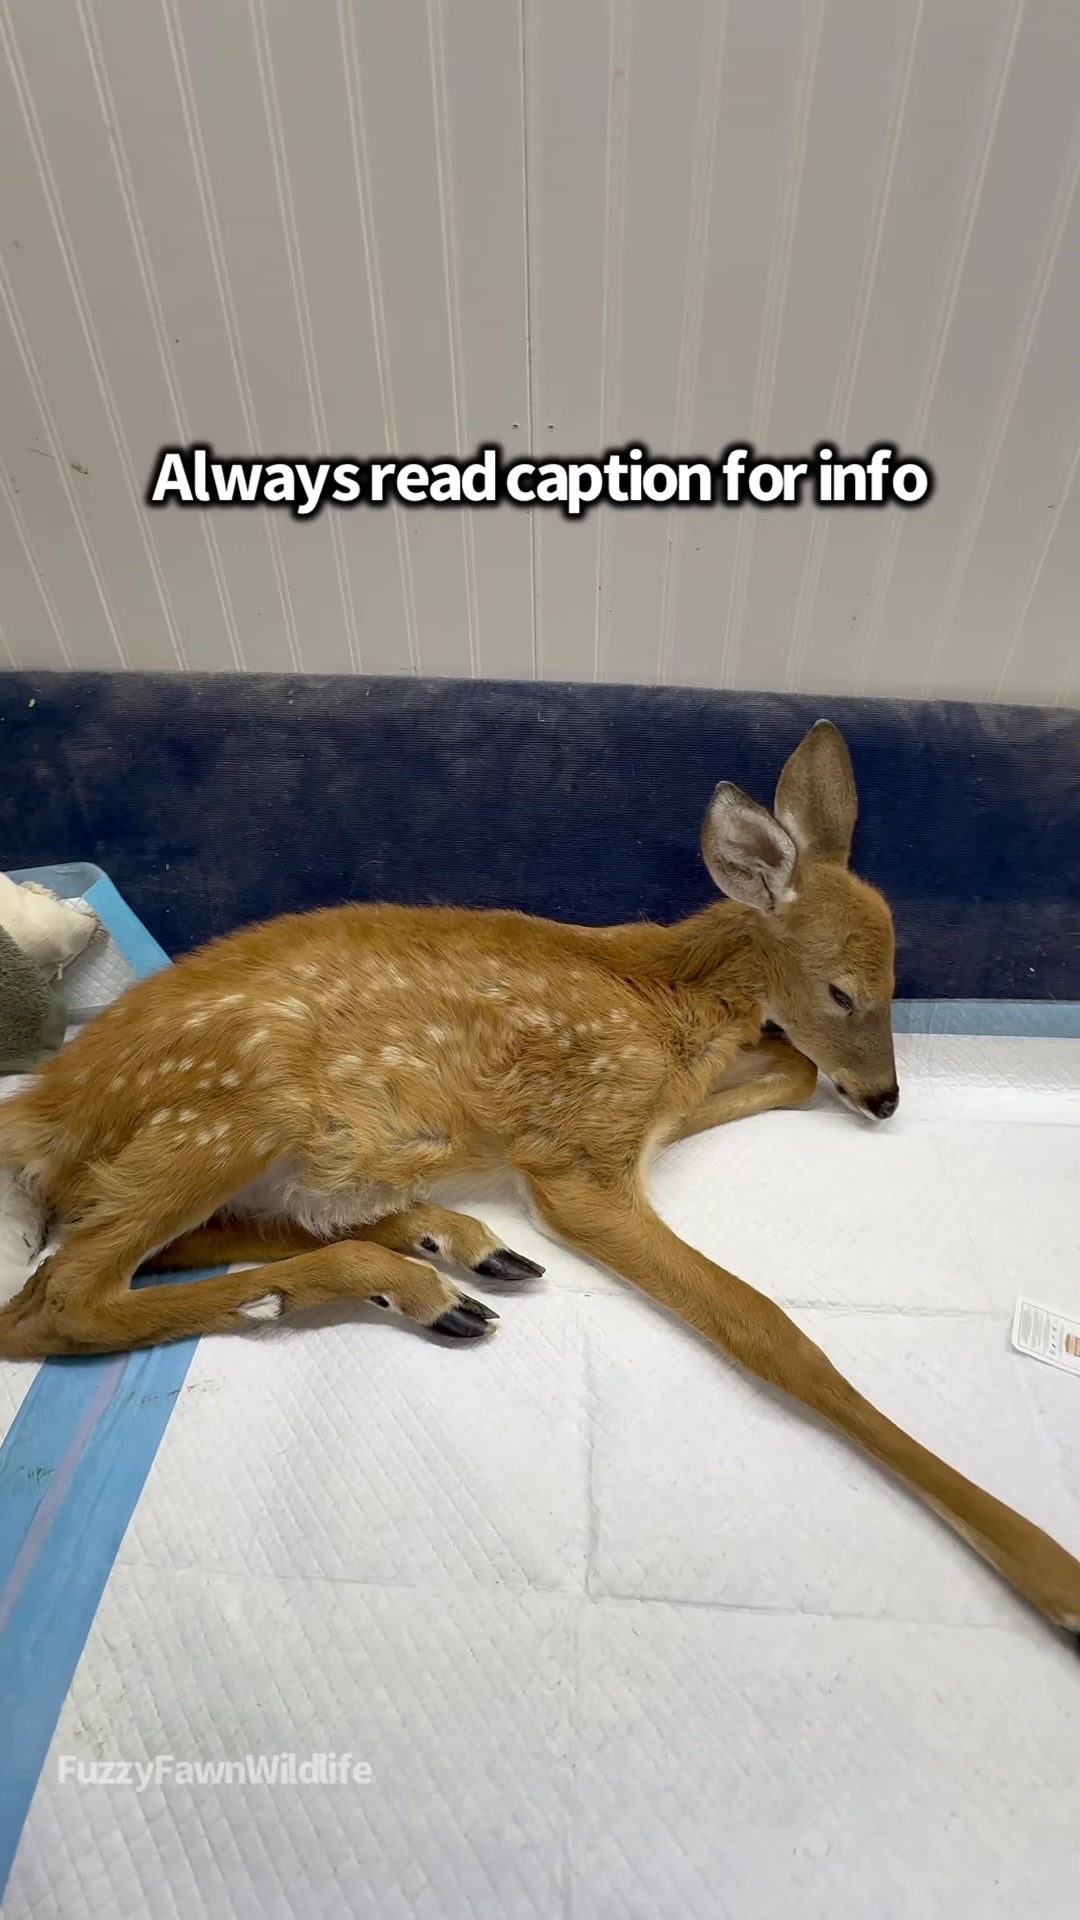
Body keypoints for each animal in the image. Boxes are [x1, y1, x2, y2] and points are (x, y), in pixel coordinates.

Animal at [1, 719, 1078, 1645]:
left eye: (898, 984)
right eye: (844, 991)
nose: (888, 1099)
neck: (669, 999)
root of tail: (43, 1108)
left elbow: (785, 1071)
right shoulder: (578, 1160)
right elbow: (770, 1328)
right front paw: (1050, 1571)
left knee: (172, 1246)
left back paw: (454, 1249)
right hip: (227, 1111)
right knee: (56, 1301)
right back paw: (411, 1285)